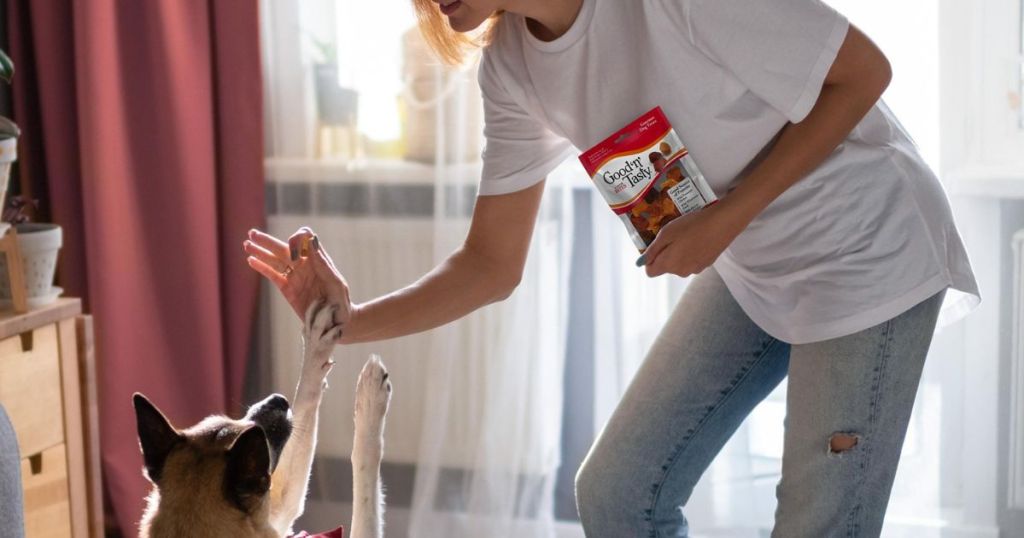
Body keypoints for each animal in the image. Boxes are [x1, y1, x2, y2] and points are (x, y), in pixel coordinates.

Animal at [134, 301, 389, 536]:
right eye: (263, 444)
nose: (278, 400)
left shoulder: (276, 513)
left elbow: (306, 401)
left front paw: (317, 345)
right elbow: (364, 476)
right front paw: (371, 401)